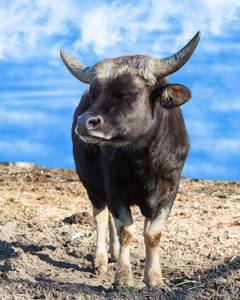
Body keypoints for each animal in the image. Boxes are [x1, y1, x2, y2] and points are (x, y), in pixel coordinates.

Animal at [60, 31, 201, 288]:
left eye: (129, 93)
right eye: (94, 94)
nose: (85, 122)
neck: (145, 160)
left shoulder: (170, 187)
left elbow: (153, 234)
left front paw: (154, 277)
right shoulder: (114, 185)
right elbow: (126, 230)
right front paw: (123, 277)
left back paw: (114, 254)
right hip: (93, 187)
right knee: (101, 217)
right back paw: (101, 260)